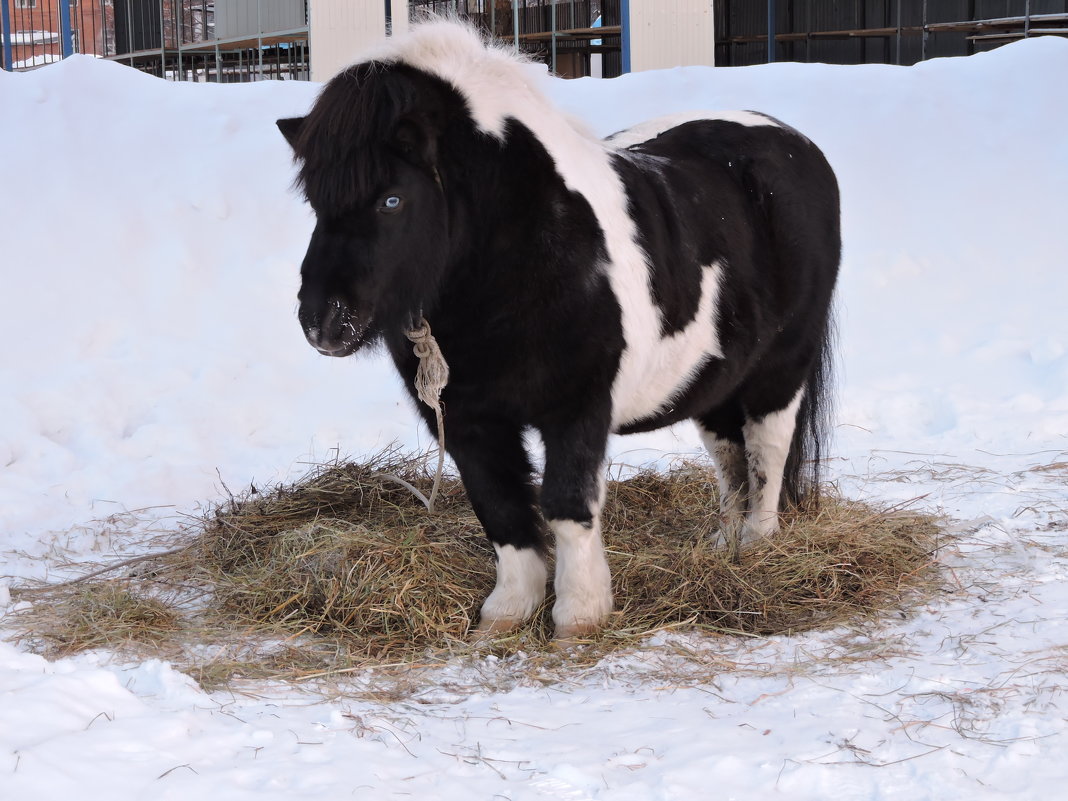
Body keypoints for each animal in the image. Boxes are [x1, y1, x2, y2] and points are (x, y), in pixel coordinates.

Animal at [277, 20, 841, 640]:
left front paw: (578, 617)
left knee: (768, 451)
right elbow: (500, 508)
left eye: (391, 199)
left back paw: (759, 550)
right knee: (731, 459)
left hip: (781, 367)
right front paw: (505, 615)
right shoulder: (469, 419)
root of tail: (795, 144)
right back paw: (723, 547)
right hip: (713, 380)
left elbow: (567, 503)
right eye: (315, 201)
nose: (323, 322)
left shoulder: (577, 408)